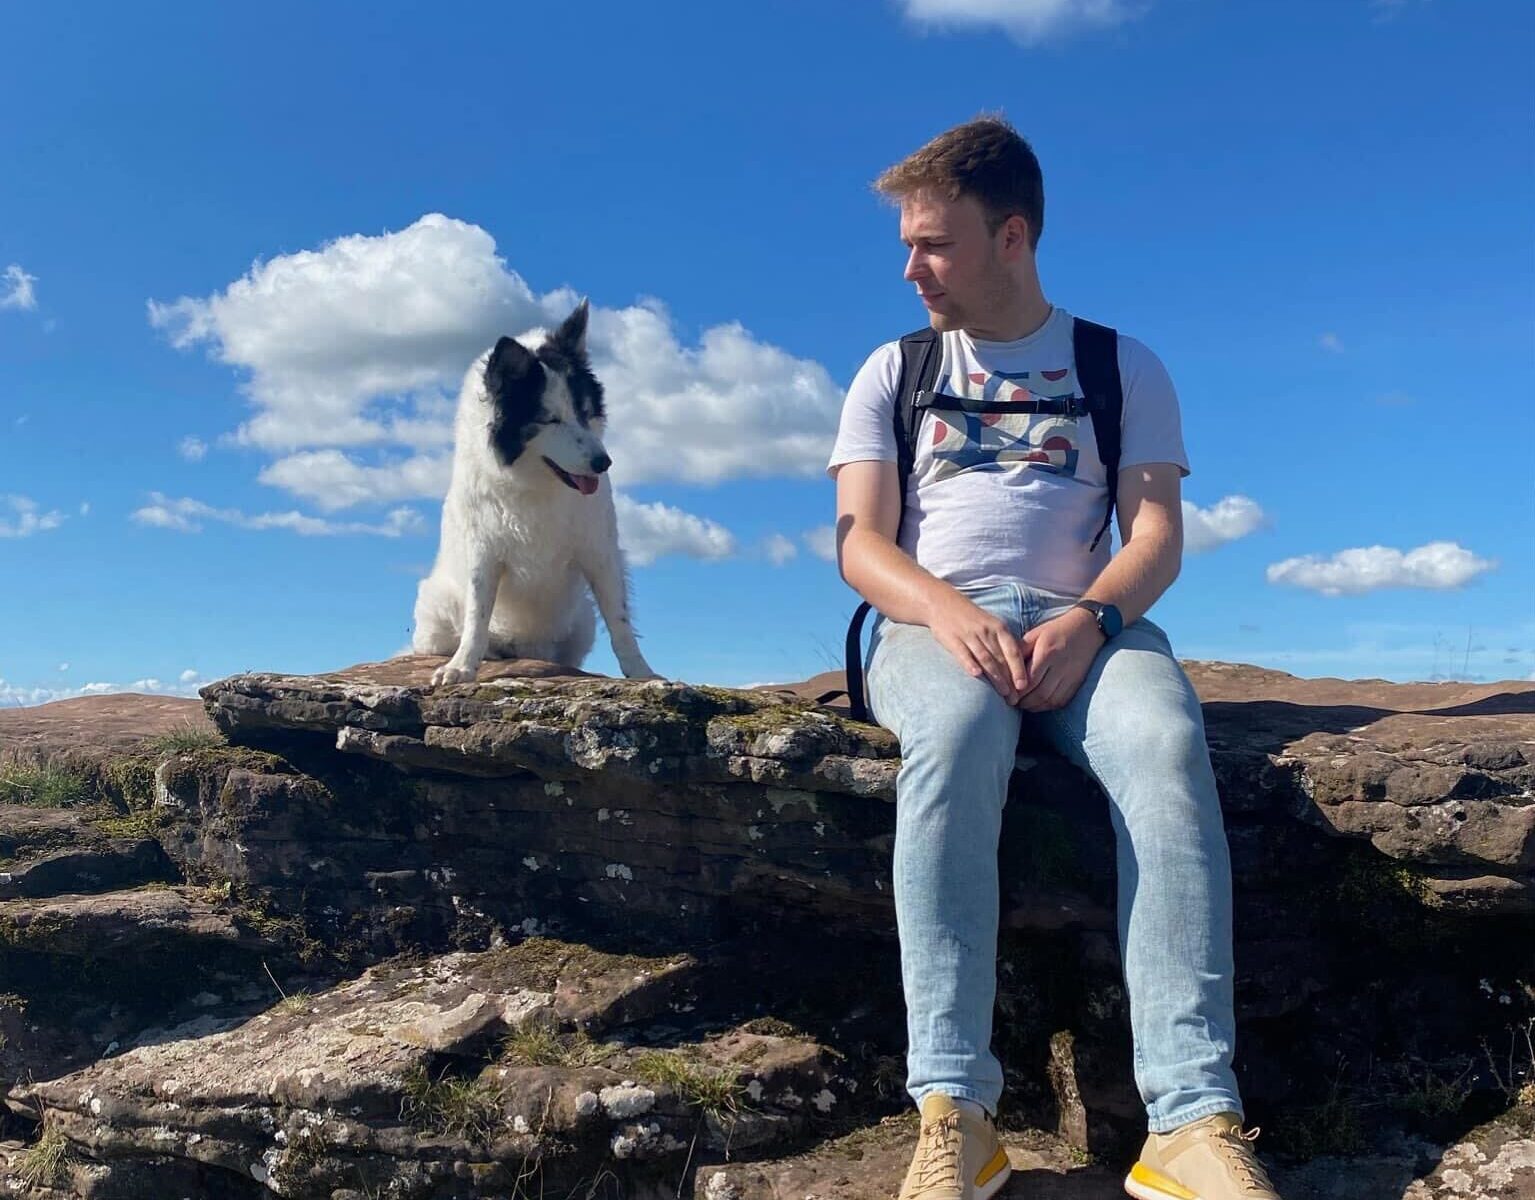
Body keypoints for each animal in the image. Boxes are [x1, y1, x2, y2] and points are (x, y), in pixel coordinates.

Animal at [414, 300, 660, 687]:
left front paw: (641, 672)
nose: (603, 463)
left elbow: (620, 621)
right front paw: (462, 666)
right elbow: (476, 618)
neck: (536, 483)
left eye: (585, 413)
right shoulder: (483, 554)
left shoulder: (599, 551)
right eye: (550, 420)